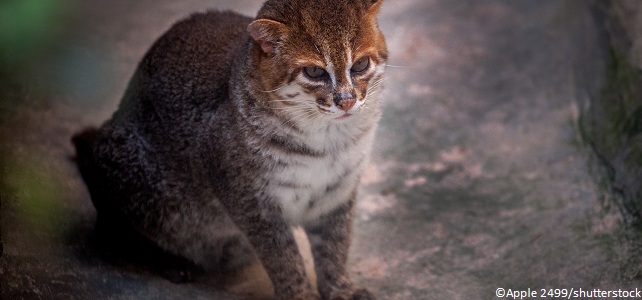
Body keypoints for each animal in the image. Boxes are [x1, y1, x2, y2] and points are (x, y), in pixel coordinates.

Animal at [73, 0, 388, 300]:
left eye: (361, 64)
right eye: (314, 71)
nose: (346, 101)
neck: (327, 146)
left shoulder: (338, 191)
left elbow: (334, 248)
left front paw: (341, 290)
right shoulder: (247, 197)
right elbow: (283, 258)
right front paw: (300, 294)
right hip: (135, 179)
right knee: (111, 229)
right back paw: (170, 261)